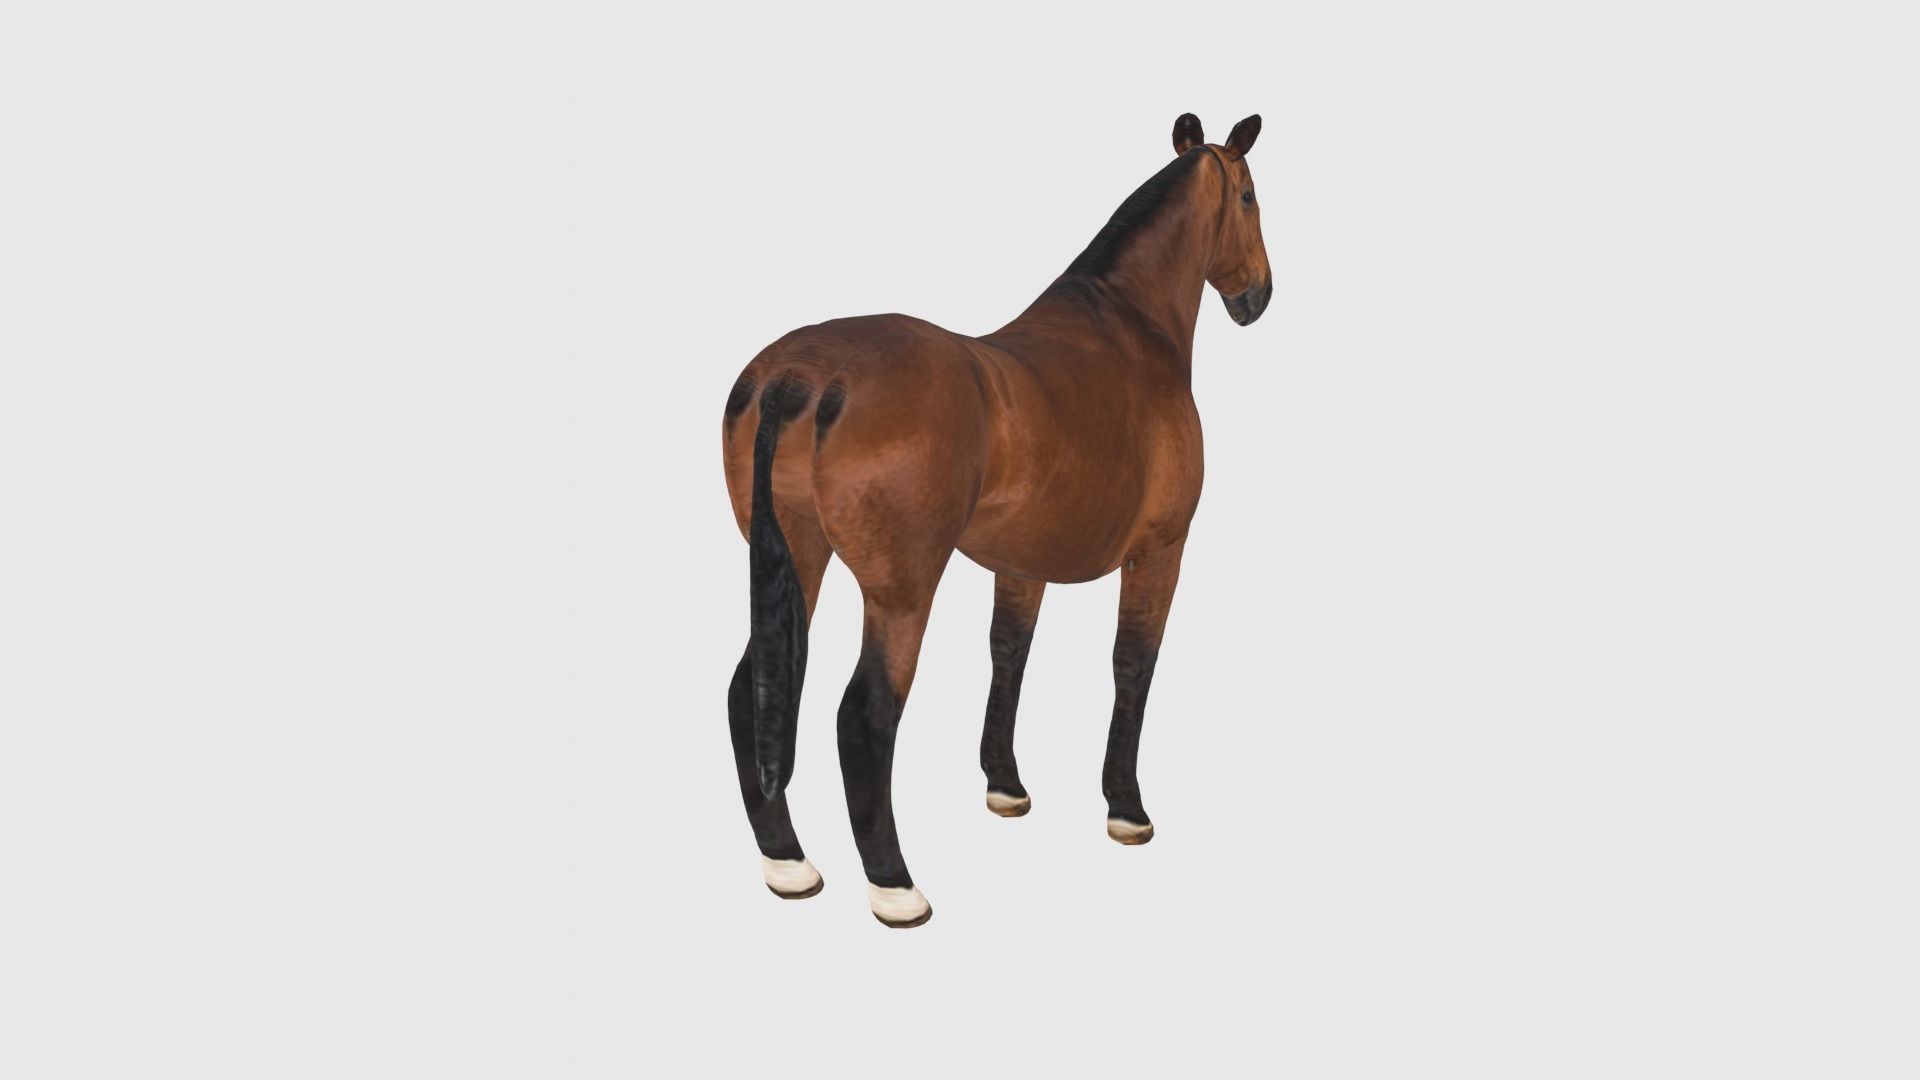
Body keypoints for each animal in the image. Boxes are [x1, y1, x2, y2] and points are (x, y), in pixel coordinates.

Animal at [719, 113, 1271, 927]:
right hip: (900, 592)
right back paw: (895, 886)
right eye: (1249, 196)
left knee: (751, 688)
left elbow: (1008, 654)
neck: (1129, 329)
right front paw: (1125, 808)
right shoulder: (1161, 552)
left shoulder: (1021, 562)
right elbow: (1132, 664)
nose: (1259, 294)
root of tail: (799, 376)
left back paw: (786, 862)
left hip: (798, 561)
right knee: (865, 714)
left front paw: (1005, 786)